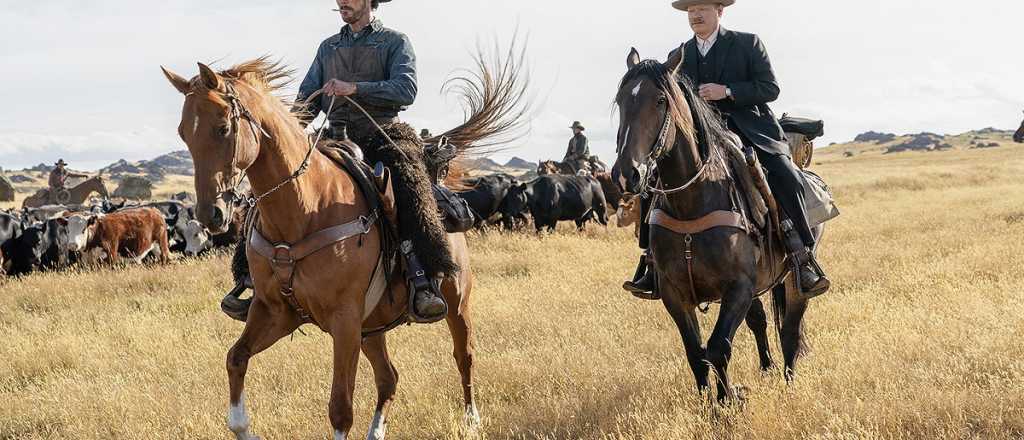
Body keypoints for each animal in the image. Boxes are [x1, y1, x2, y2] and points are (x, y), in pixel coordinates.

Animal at [162, 50, 524, 435]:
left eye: (223, 128)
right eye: (184, 133)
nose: (211, 214)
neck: (306, 207)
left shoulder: (344, 319)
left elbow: (340, 408)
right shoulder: (274, 312)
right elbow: (235, 360)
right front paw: (245, 427)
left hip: (456, 302)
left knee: (464, 356)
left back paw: (471, 419)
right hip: (372, 327)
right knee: (388, 377)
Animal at [606, 48, 823, 403]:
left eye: (661, 101)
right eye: (621, 100)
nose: (627, 174)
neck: (693, 202)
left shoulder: (738, 287)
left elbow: (718, 347)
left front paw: (727, 400)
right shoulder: (674, 293)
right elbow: (696, 352)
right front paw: (709, 404)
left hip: (794, 281)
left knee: (790, 328)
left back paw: (788, 381)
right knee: (760, 319)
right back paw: (767, 368)